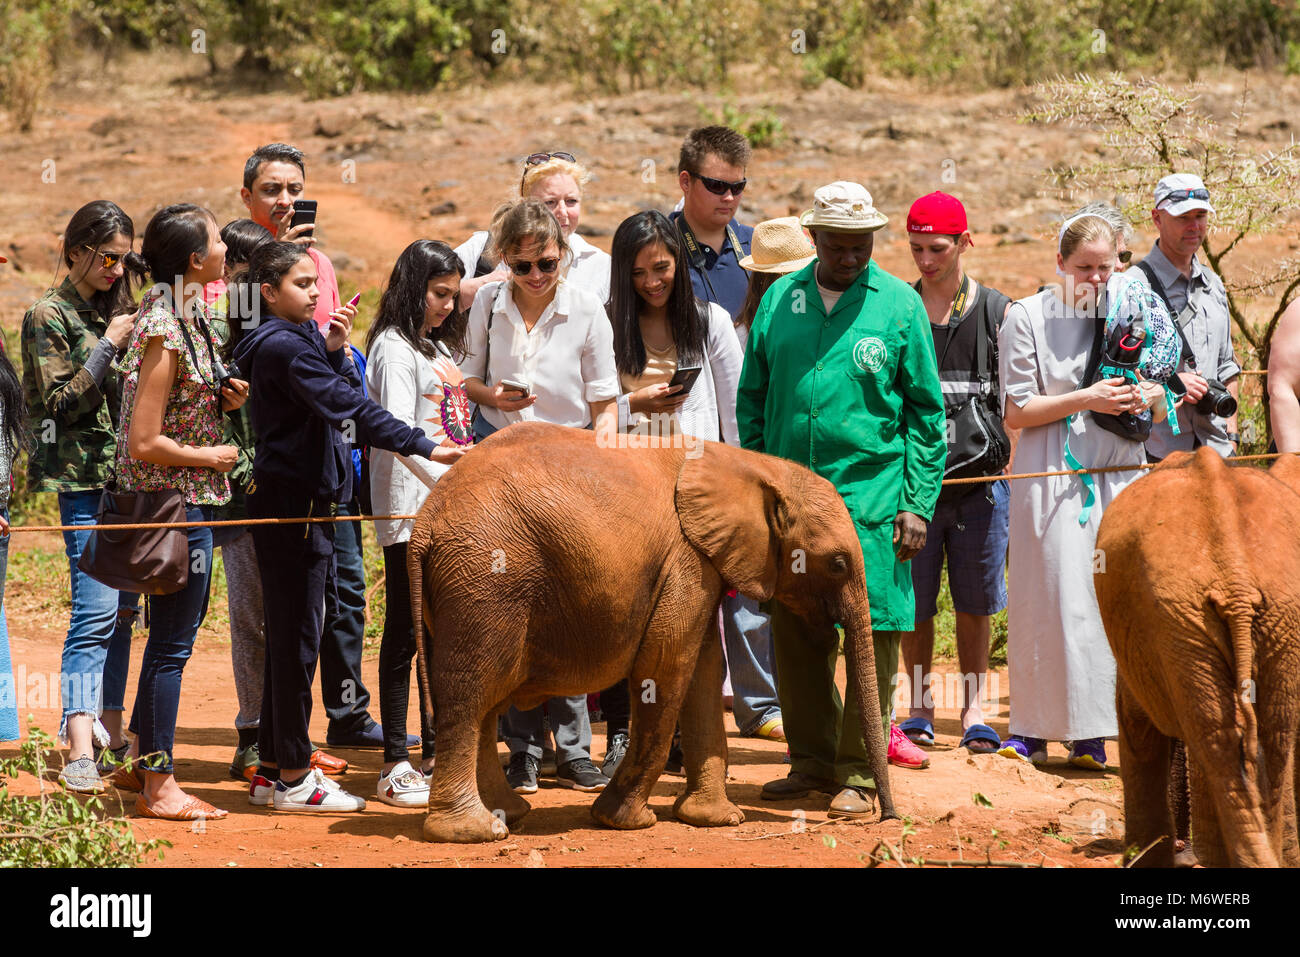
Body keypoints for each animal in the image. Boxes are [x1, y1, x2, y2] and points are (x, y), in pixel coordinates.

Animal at [405, 421, 894, 842]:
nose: (886, 817)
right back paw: (474, 831)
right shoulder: (685, 560)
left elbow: (702, 673)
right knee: (471, 696)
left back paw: (508, 813)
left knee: (485, 703)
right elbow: (666, 669)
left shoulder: (700, 564)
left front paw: (716, 820)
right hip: (487, 579)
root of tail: (424, 521)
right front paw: (625, 821)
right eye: (838, 564)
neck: (754, 465)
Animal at [1097, 447, 1300, 868]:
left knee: (1219, 738)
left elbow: (1135, 723)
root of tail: (1235, 576)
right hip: (1256, 611)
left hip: (1191, 614)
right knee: (1267, 732)